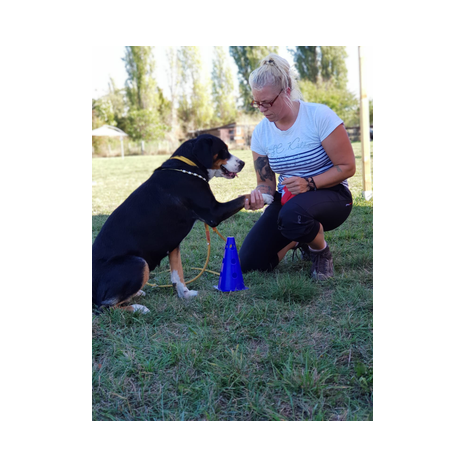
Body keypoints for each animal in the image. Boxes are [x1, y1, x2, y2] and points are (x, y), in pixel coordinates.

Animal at [92, 135, 252, 314]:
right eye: (223, 150)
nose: (243, 163)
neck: (187, 168)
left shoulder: (173, 244)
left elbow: (178, 273)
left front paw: (186, 295)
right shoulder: (214, 212)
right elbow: (244, 196)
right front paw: (264, 195)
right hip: (139, 263)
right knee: (105, 307)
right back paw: (138, 308)